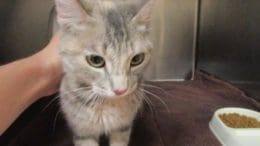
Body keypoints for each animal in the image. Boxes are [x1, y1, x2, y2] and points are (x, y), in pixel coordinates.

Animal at [54, 0, 153, 145]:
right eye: (95, 60)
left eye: (137, 59)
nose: (120, 90)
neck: (108, 104)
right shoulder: (82, 132)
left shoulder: (123, 127)